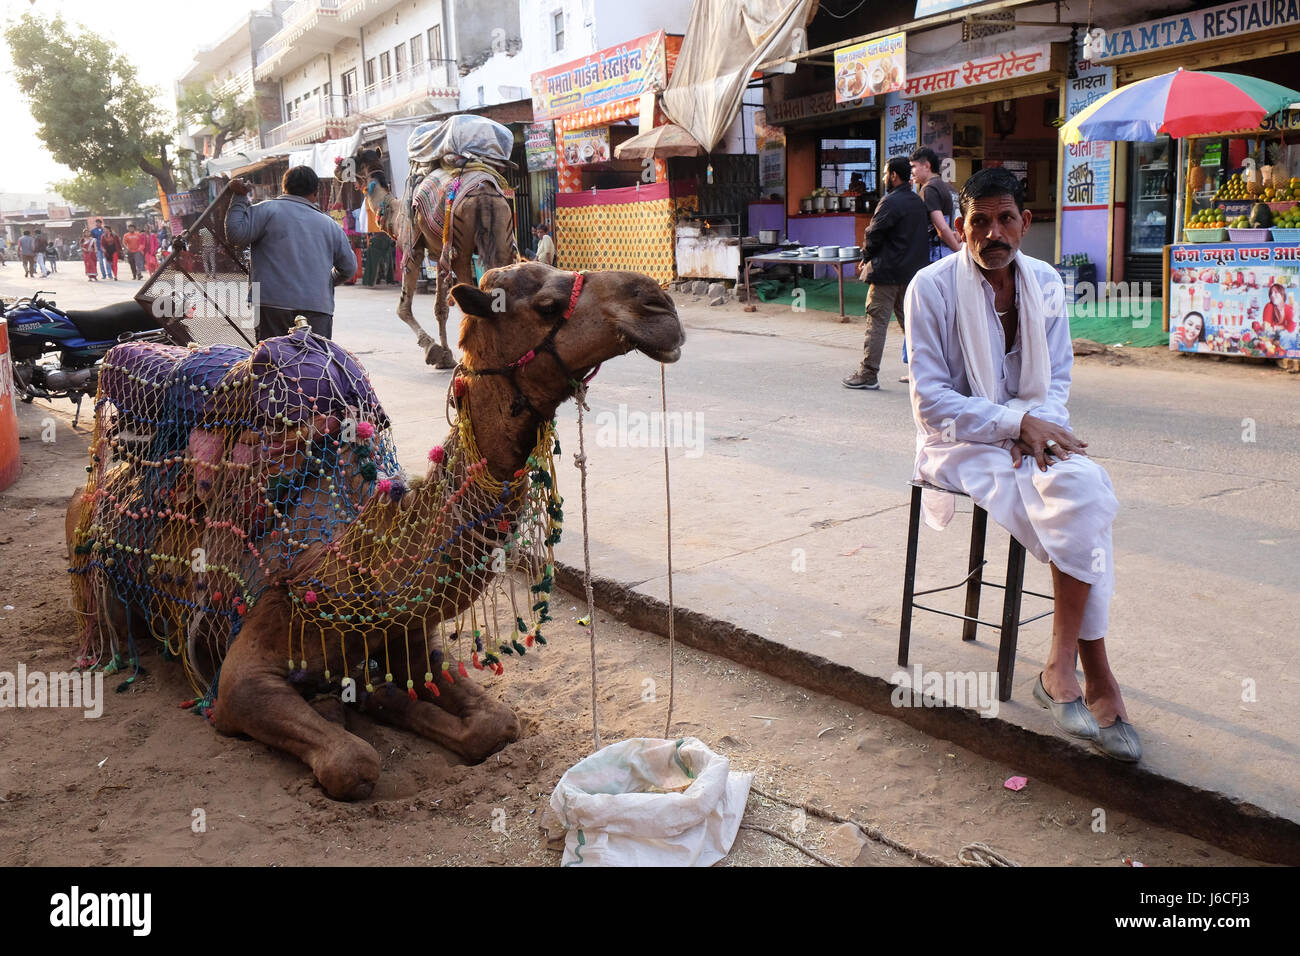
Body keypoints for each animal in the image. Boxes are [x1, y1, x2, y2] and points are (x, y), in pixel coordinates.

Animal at [343, 146, 520, 369]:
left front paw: (433, 350)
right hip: (501, 233)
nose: (339, 166)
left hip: (461, 248)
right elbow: (440, 309)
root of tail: (484, 195)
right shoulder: (437, 254)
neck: (395, 213)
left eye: (355, 158)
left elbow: (403, 308)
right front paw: (445, 357)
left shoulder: (413, 248)